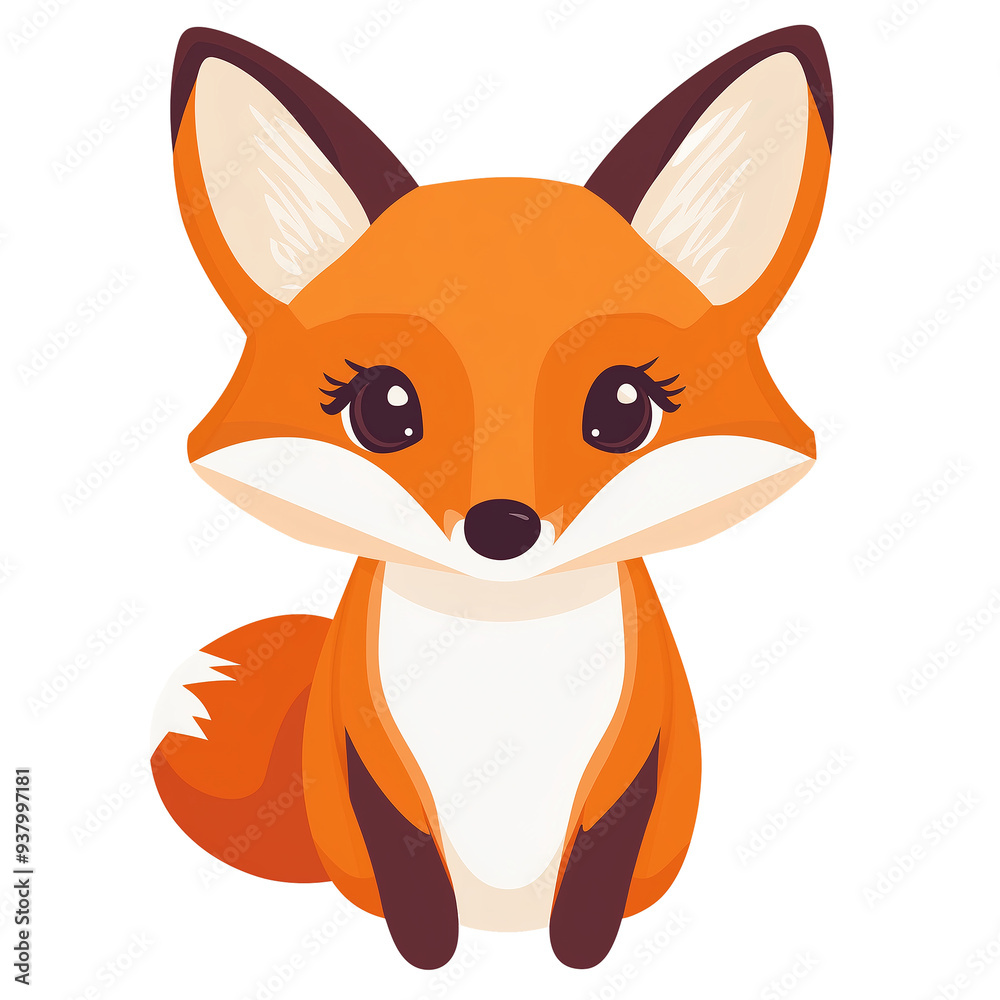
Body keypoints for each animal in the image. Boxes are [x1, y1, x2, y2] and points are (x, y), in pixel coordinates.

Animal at [151, 25, 833, 969]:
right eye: (382, 407)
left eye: (624, 406)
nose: (501, 528)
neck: (503, 647)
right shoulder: (368, 750)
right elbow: (410, 866)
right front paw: (427, 956)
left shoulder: (637, 750)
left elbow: (596, 867)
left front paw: (580, 955)